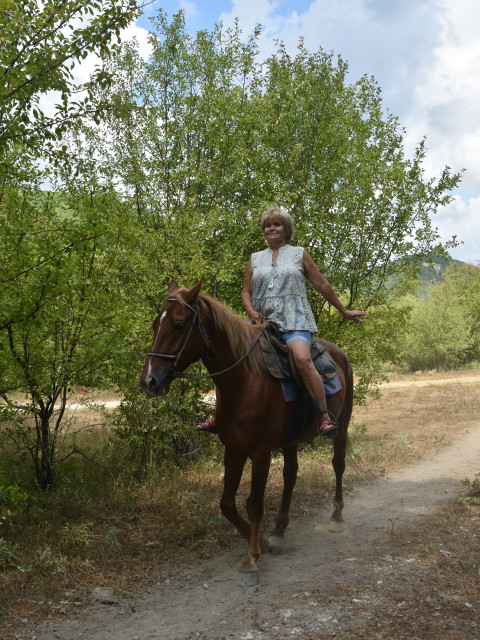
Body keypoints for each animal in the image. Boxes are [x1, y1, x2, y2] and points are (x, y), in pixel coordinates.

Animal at [139, 278, 352, 584]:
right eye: (157, 324)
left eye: (179, 325)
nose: (150, 381)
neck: (245, 381)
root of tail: (339, 353)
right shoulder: (233, 449)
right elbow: (227, 504)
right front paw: (261, 540)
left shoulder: (260, 452)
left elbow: (254, 503)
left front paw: (251, 556)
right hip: (290, 441)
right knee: (290, 475)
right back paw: (279, 530)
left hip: (341, 426)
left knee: (338, 464)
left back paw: (336, 517)